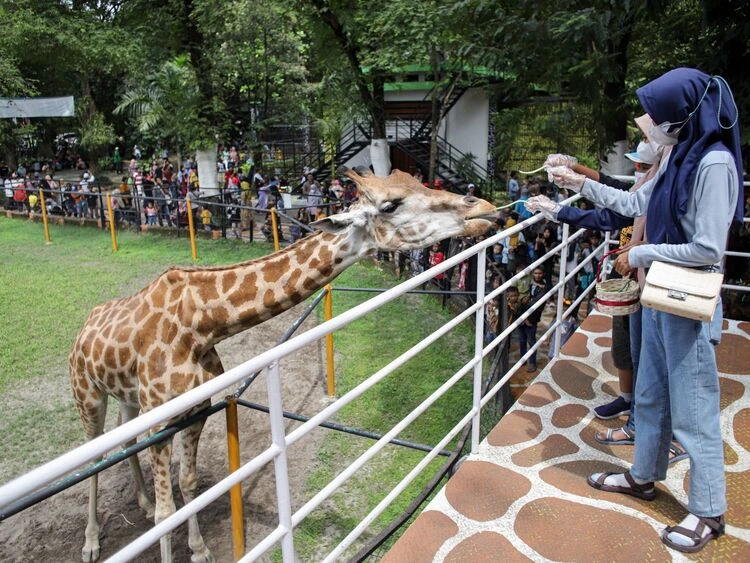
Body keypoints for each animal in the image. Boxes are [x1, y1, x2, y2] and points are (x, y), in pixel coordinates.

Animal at [70, 165, 500, 560]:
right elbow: (166, 514)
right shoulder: (162, 420)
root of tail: (84, 326)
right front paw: (168, 533)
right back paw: (90, 542)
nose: (484, 209)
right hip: (88, 396)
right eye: (391, 204)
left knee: (125, 438)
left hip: (129, 399)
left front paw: (200, 550)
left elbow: (188, 485)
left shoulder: (197, 410)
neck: (201, 324)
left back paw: (139, 503)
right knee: (96, 454)